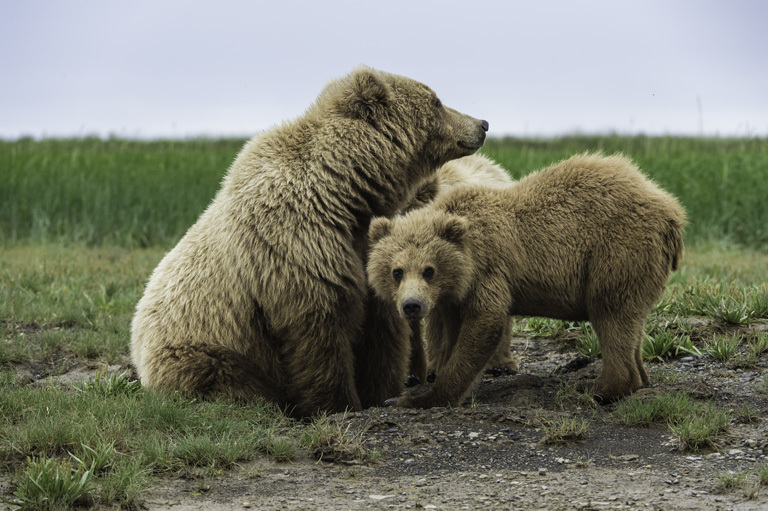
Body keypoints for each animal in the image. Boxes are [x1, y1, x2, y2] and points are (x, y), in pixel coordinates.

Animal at [368, 152, 688, 408]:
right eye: (396, 271)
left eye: (429, 269)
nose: (411, 305)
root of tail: (672, 210)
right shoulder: (452, 295)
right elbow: (453, 330)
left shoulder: (488, 269)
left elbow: (484, 324)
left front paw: (414, 398)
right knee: (632, 322)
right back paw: (638, 377)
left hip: (615, 250)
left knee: (611, 313)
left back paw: (594, 386)